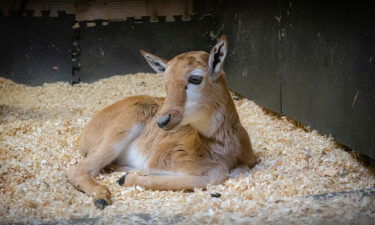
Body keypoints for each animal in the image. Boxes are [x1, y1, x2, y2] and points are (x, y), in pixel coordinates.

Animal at [66, 35, 258, 209]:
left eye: (195, 78)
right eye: (165, 82)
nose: (162, 120)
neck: (224, 147)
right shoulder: (164, 158)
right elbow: (218, 172)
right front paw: (126, 179)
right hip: (116, 137)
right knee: (79, 169)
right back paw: (103, 197)